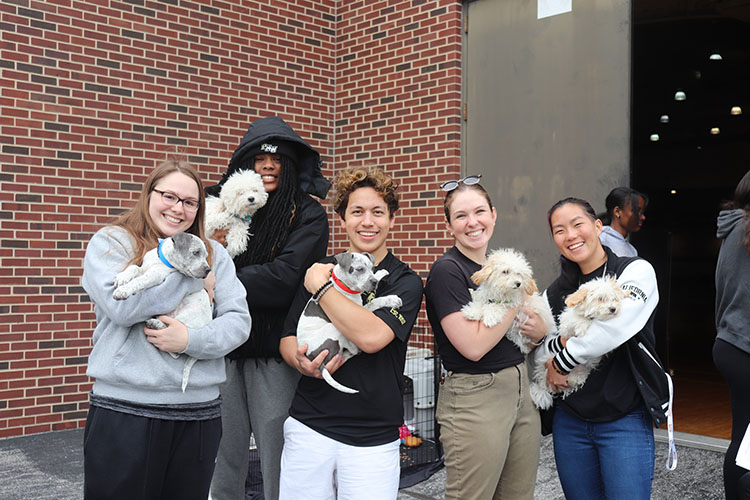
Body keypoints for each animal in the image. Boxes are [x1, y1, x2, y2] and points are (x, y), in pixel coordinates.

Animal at [111, 232, 213, 392]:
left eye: (206, 255)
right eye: (196, 253)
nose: (208, 270)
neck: (162, 260)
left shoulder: (155, 275)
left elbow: (139, 281)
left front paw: (123, 291)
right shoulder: (144, 268)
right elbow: (134, 267)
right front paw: (122, 277)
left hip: (186, 318)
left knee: (176, 348)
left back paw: (155, 324)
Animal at [298, 252, 406, 392]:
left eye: (372, 268)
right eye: (359, 269)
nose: (374, 282)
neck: (342, 284)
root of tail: (314, 358)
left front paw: (380, 273)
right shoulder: (361, 311)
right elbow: (374, 302)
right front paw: (392, 299)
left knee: (344, 355)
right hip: (333, 328)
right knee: (352, 349)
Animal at [528, 278, 636, 410]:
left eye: (614, 299)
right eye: (600, 298)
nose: (613, 309)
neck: (592, 317)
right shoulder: (566, 327)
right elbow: (578, 319)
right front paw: (582, 325)